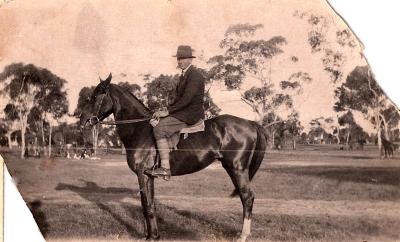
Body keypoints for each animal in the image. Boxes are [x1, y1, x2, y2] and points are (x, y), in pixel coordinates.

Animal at [80, 74, 268, 242]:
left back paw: (243, 235)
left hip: (237, 168)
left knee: (247, 197)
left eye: (95, 97)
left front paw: (152, 237)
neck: (139, 128)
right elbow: (148, 204)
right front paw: (152, 235)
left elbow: (147, 206)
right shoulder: (148, 176)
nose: (83, 121)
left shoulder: (141, 174)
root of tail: (251, 124)